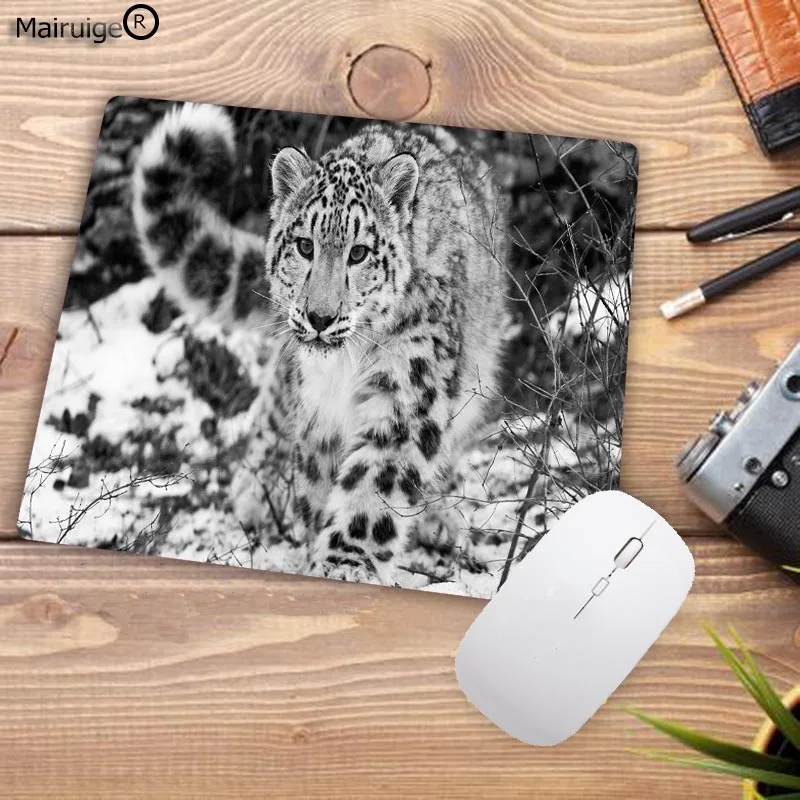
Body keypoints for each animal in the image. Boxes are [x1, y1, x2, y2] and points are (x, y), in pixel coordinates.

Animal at [132, 101, 509, 586]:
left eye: (359, 253)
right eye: (304, 245)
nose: (320, 317)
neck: (344, 369)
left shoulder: (406, 390)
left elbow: (377, 482)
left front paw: (345, 564)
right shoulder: (316, 414)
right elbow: (317, 481)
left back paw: (436, 519)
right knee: (271, 409)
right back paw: (258, 491)